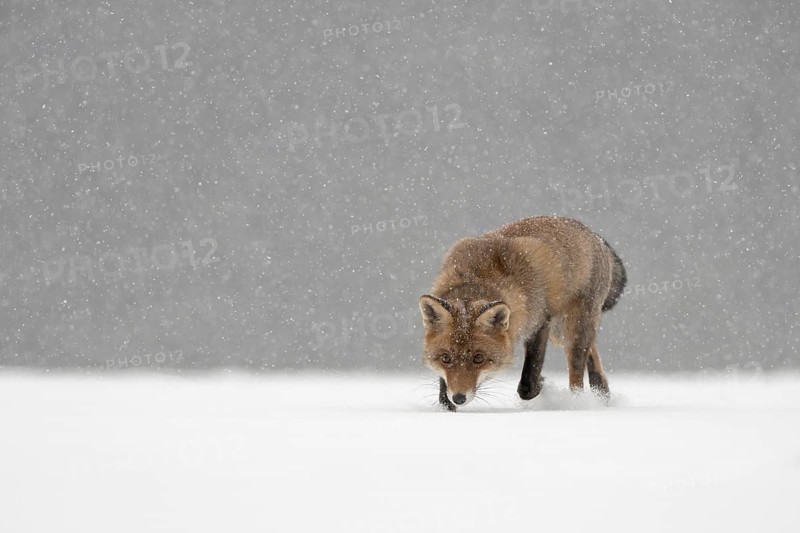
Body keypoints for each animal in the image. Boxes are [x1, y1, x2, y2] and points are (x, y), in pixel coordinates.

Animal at [419, 216, 626, 411]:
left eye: (479, 358)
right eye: (445, 358)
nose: (459, 398)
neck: (476, 275)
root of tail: (593, 234)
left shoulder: (540, 322)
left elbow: (528, 381)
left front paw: (540, 383)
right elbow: (443, 392)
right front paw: (447, 404)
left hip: (572, 328)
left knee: (577, 372)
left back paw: (576, 403)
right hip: (560, 333)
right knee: (592, 352)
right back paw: (601, 391)